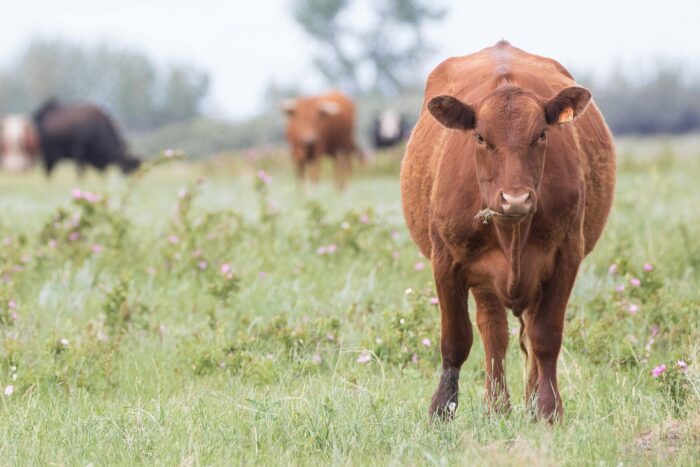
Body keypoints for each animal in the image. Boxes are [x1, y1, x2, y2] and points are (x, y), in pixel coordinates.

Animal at [402, 41, 616, 424]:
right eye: (481, 137)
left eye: (542, 134)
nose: (515, 198)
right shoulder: (446, 262)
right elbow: (455, 340)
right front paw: (441, 409)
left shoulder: (566, 256)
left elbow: (546, 336)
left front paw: (548, 409)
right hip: (484, 280)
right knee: (493, 332)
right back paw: (496, 406)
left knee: (526, 330)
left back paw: (525, 402)